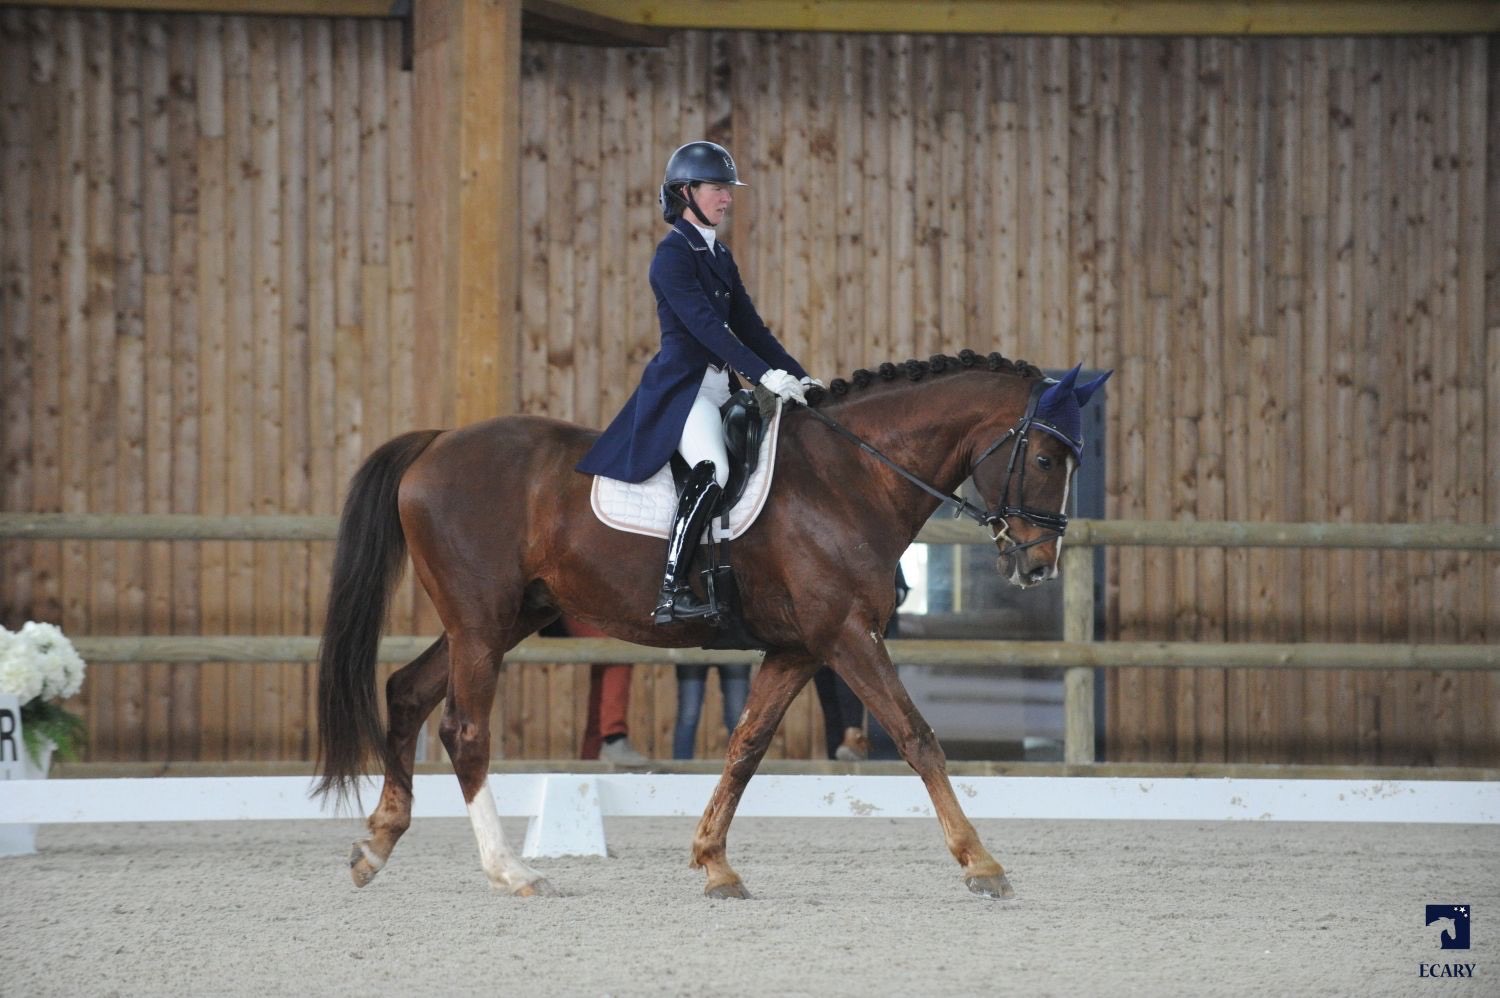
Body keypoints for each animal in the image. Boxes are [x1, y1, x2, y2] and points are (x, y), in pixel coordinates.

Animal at [316, 346, 1110, 900]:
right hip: (481, 622)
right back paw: (511, 871)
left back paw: (376, 845)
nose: (1038, 565)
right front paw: (982, 862)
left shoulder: (799, 648)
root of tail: (436, 442)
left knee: (407, 693)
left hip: (502, 617)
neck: (849, 478)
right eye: (1045, 457)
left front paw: (714, 864)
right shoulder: (846, 635)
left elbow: (745, 747)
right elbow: (917, 737)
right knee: (463, 730)